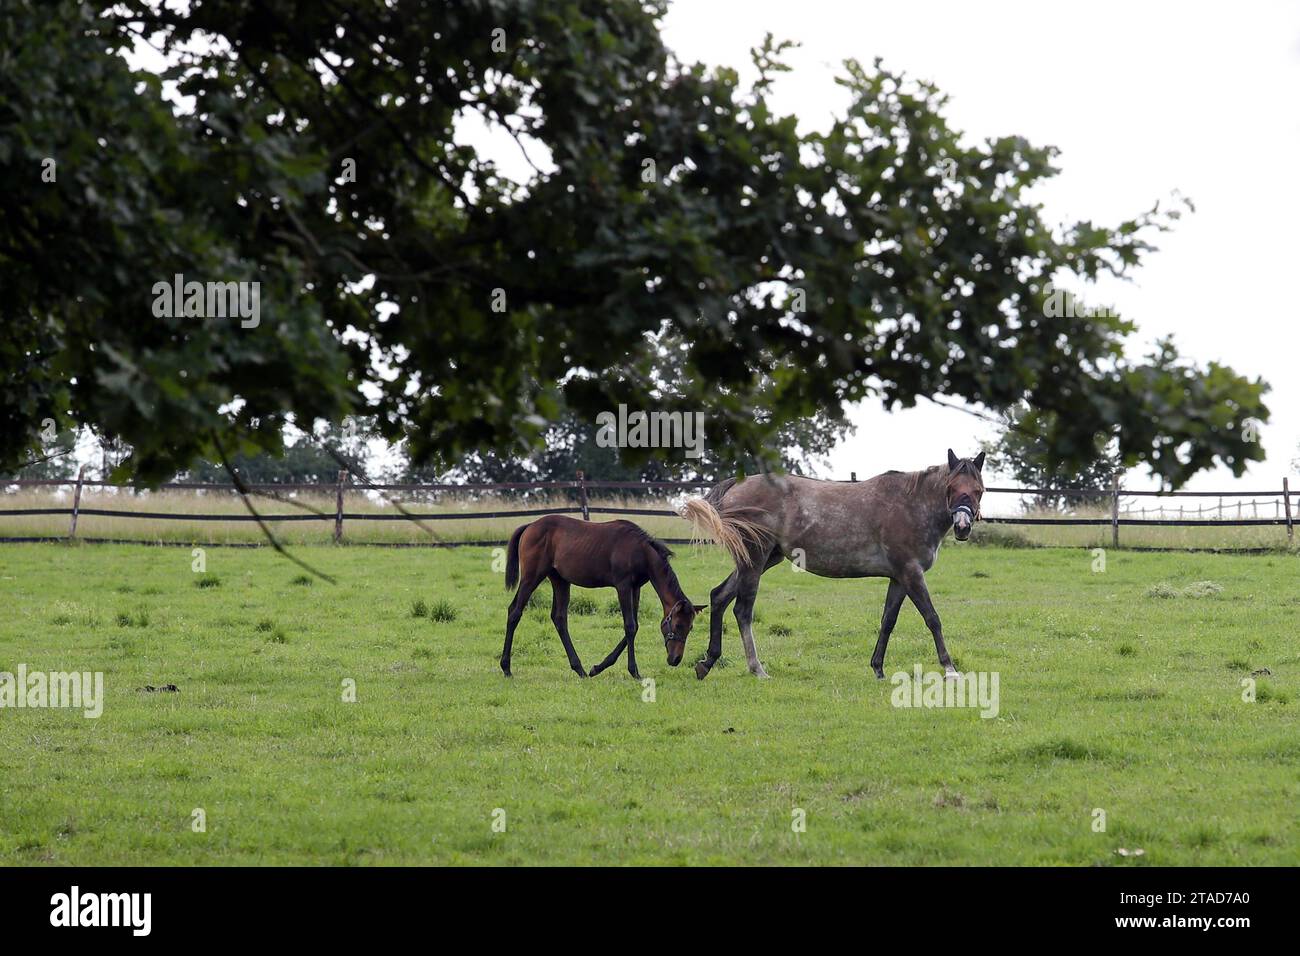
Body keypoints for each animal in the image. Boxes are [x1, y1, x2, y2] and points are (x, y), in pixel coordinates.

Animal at [501, 515, 705, 679]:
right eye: (678, 625)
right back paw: (506, 668)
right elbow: (630, 626)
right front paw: (634, 671)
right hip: (532, 576)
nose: (675, 659)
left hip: (560, 580)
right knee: (514, 611)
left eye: (690, 627)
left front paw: (597, 668)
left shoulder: (635, 588)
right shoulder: (623, 586)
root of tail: (530, 526)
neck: (641, 551)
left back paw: (580, 669)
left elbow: (635, 626)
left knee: (559, 618)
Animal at [681, 449, 986, 681]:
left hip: (761, 560)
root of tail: (736, 485)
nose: (963, 527)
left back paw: (707, 662)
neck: (911, 505)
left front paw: (878, 669)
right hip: (755, 560)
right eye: (951, 488)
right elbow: (932, 618)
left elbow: (887, 621)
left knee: (719, 597)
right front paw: (950, 669)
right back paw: (757, 669)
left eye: (979, 490)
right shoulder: (912, 574)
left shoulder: (899, 578)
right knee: (742, 611)